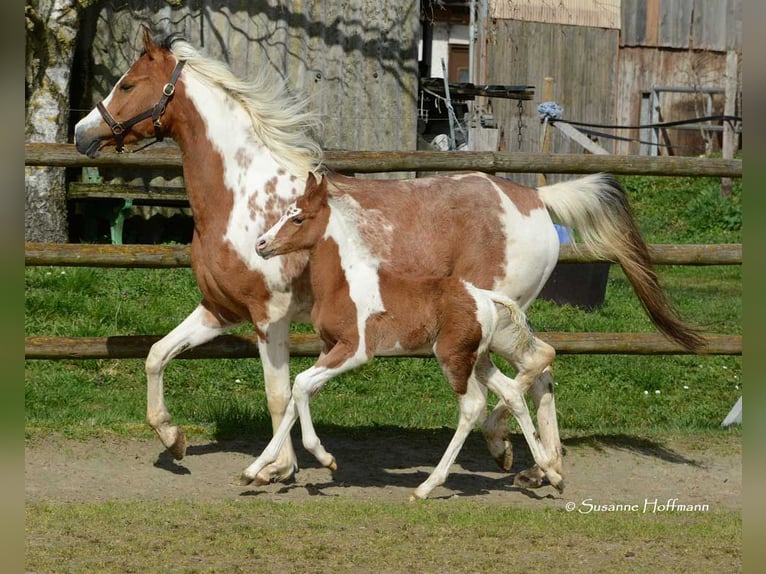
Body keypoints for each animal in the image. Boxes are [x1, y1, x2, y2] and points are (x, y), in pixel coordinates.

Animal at [248, 173, 564, 502]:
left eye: (298, 218)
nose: (261, 244)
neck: (343, 281)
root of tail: (486, 299)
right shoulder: (329, 347)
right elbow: (297, 397)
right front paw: (255, 468)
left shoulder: (356, 350)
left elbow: (299, 385)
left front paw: (325, 457)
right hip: (478, 361)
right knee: (513, 392)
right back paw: (550, 473)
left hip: (453, 358)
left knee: (473, 406)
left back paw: (427, 486)